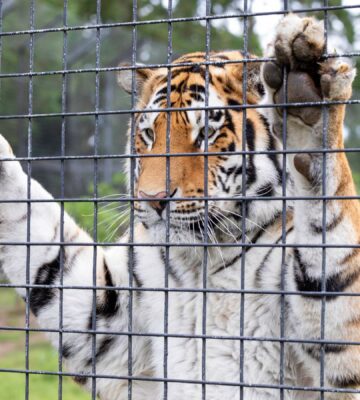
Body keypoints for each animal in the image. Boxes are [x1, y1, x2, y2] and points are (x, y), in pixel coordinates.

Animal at [0, 13, 360, 400]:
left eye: (206, 134)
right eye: (148, 135)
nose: (152, 198)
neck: (202, 265)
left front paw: (308, 96)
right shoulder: (110, 323)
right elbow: (45, 250)